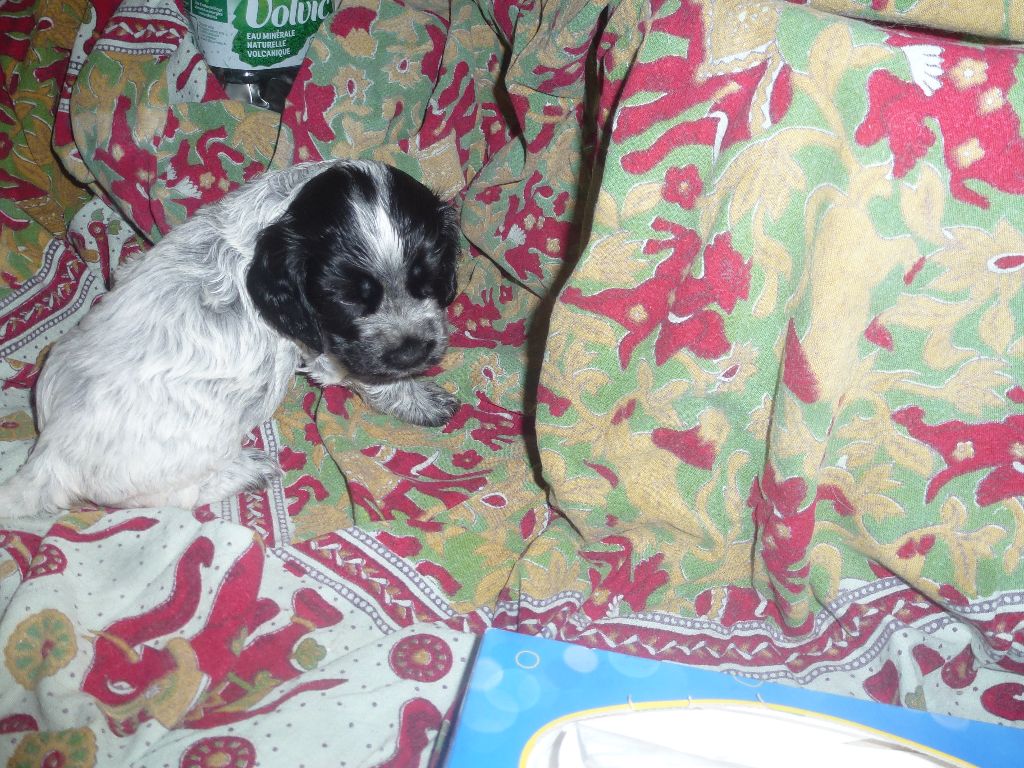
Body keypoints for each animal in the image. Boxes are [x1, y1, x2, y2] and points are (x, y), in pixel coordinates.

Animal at [0, 159, 460, 516]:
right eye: (346, 299)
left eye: (431, 278)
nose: (412, 350)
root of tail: (50, 455)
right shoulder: (329, 345)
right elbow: (374, 378)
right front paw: (420, 400)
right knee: (179, 495)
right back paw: (246, 472)